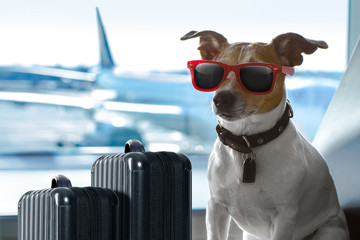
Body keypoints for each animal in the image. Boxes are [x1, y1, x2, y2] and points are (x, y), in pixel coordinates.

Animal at [181, 30, 350, 240]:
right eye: (214, 71)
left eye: (257, 74)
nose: (221, 99)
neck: (247, 144)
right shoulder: (215, 208)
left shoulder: (284, 217)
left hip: (330, 230)